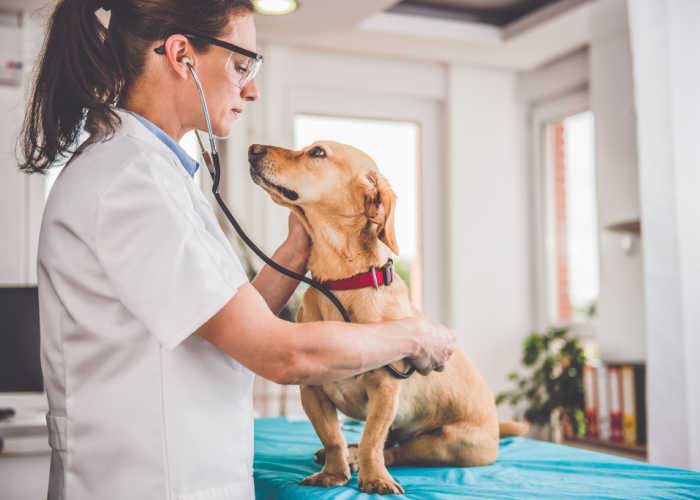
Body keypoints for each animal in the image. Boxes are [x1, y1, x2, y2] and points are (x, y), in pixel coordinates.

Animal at [246, 142, 524, 496]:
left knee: (396, 450)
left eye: (317, 152)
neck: (342, 283)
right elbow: (333, 437)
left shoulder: (385, 390)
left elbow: (371, 441)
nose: (253, 149)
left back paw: (363, 460)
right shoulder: (312, 390)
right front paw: (333, 473)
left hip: (448, 444)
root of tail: (496, 426)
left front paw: (374, 477)